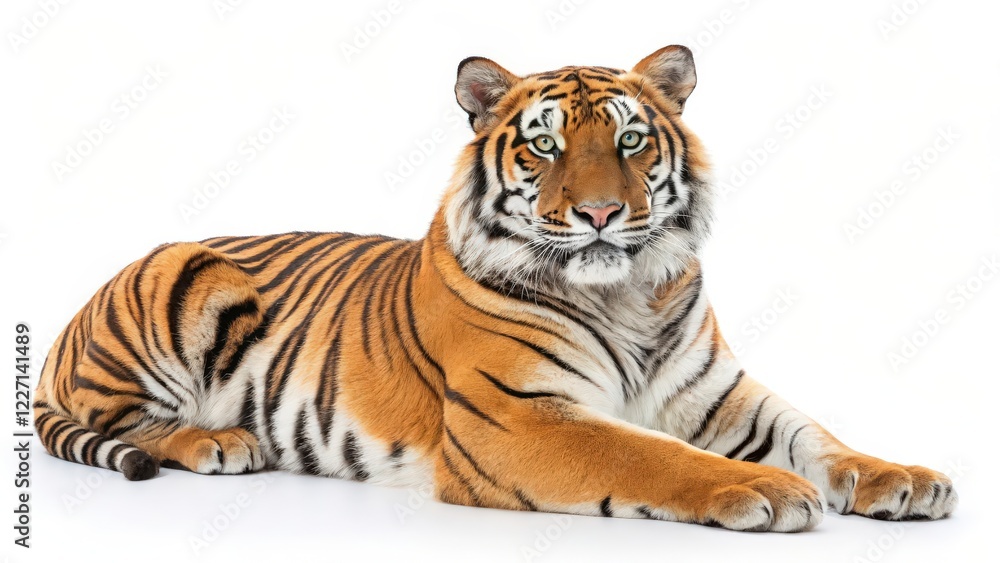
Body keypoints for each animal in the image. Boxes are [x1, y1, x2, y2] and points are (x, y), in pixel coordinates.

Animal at [34, 45, 957, 532]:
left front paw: (902, 477)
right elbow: (650, 453)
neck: (626, 295)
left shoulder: (720, 395)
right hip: (189, 273)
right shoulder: (517, 416)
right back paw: (219, 441)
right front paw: (763, 490)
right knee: (126, 420)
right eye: (545, 145)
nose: (598, 211)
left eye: (630, 140)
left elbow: (818, 436)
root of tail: (60, 331)